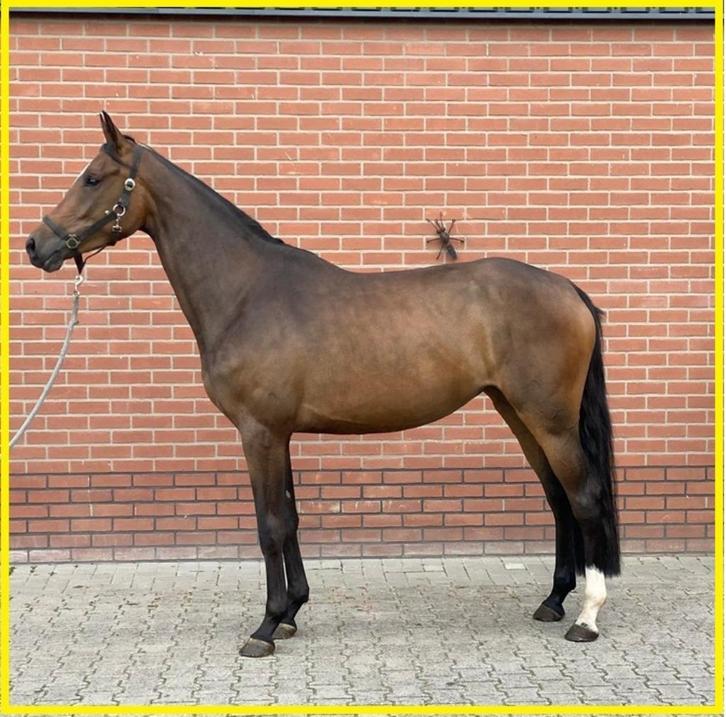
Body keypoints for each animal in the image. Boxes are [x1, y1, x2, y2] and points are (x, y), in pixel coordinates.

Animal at [26, 112, 620, 658]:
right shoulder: (279, 433)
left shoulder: (259, 432)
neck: (246, 292)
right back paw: (552, 601)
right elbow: (289, 519)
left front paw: (265, 627)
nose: (36, 244)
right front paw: (291, 612)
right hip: (518, 414)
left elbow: (268, 525)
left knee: (584, 496)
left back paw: (586, 618)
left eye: (93, 178)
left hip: (549, 420)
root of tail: (566, 287)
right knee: (558, 498)